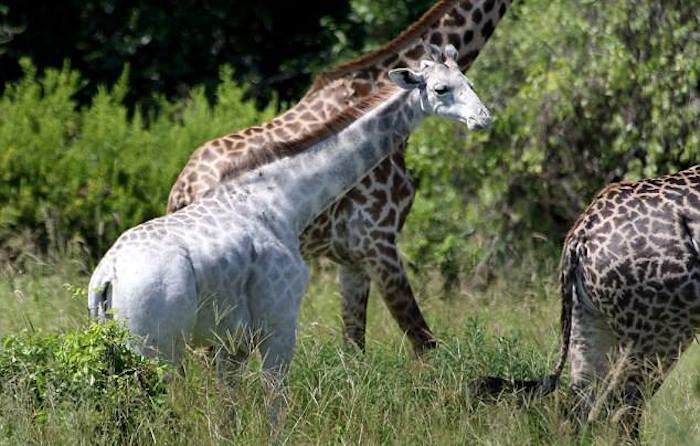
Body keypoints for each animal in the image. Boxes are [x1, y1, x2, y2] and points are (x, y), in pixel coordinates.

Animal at [167, 0, 512, 356]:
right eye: (441, 89)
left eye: (471, 85)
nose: (484, 119)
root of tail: (182, 190)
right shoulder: (378, 241)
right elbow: (423, 342)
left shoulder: (351, 258)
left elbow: (354, 346)